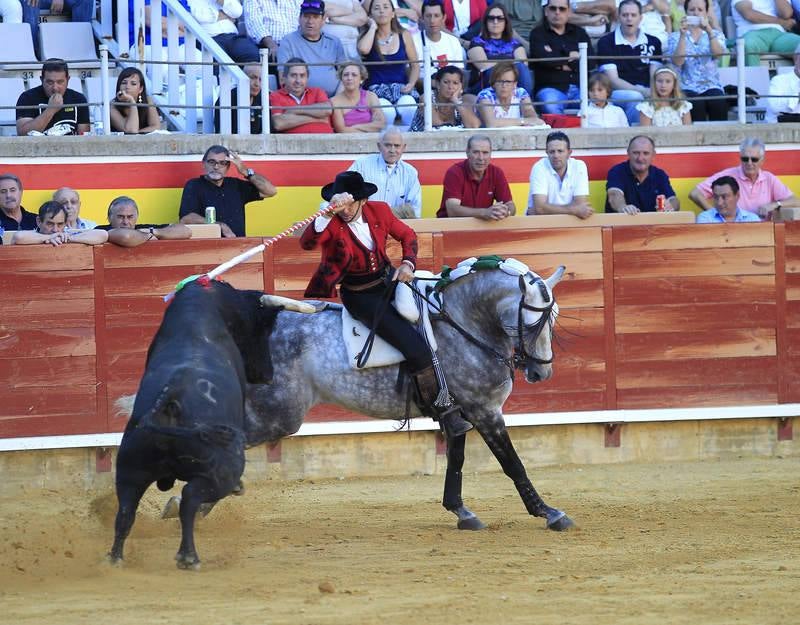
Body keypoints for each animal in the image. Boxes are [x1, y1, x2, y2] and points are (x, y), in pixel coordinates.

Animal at [108, 280, 280, 568]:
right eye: (263, 327)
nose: (268, 374)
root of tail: (171, 401)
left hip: (130, 470)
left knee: (125, 512)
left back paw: (115, 558)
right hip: (218, 473)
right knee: (189, 500)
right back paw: (188, 556)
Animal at [247, 264, 572, 532]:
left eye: (554, 318)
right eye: (532, 324)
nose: (542, 373)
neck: (463, 324)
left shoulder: (457, 413)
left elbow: (456, 458)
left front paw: (461, 512)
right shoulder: (485, 410)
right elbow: (512, 462)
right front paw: (550, 513)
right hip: (279, 413)